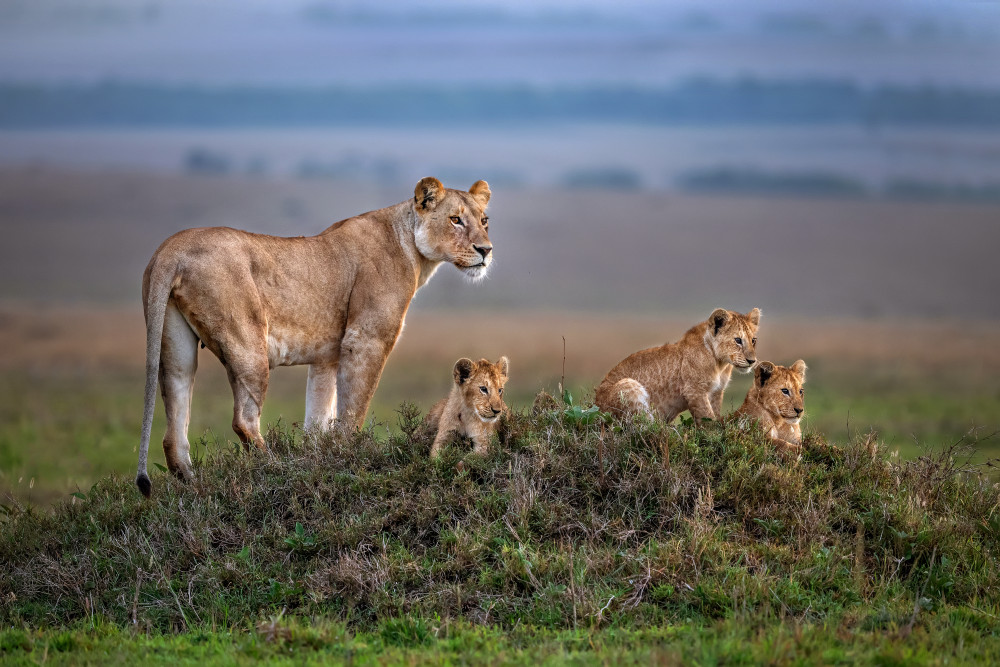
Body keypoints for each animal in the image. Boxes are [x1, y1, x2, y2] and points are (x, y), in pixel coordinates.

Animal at [136, 177, 493, 496]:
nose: (486, 250)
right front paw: (350, 456)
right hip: (248, 344)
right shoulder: (367, 340)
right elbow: (353, 409)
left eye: (484, 220)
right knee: (243, 420)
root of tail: (171, 249)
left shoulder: (326, 358)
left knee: (174, 428)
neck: (411, 246)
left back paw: (192, 487)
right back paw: (274, 468)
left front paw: (319, 459)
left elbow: (319, 418)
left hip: (176, 346)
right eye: (455, 219)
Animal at [594, 308, 761, 422]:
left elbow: (715, 414)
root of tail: (595, 406)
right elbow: (708, 420)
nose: (752, 361)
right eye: (738, 340)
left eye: (753, 340)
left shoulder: (716, 392)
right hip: (627, 384)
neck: (720, 364)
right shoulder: (694, 390)